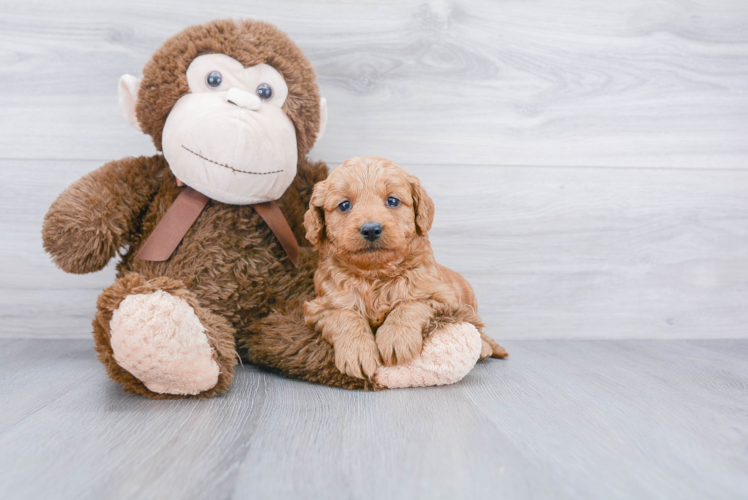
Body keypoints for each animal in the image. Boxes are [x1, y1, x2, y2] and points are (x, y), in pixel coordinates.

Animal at [304, 156, 508, 378]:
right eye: (344, 205)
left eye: (392, 201)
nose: (371, 229)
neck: (375, 274)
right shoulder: (319, 307)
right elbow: (345, 316)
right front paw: (357, 352)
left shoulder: (443, 297)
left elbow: (410, 304)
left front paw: (396, 339)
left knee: (478, 328)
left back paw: (486, 347)